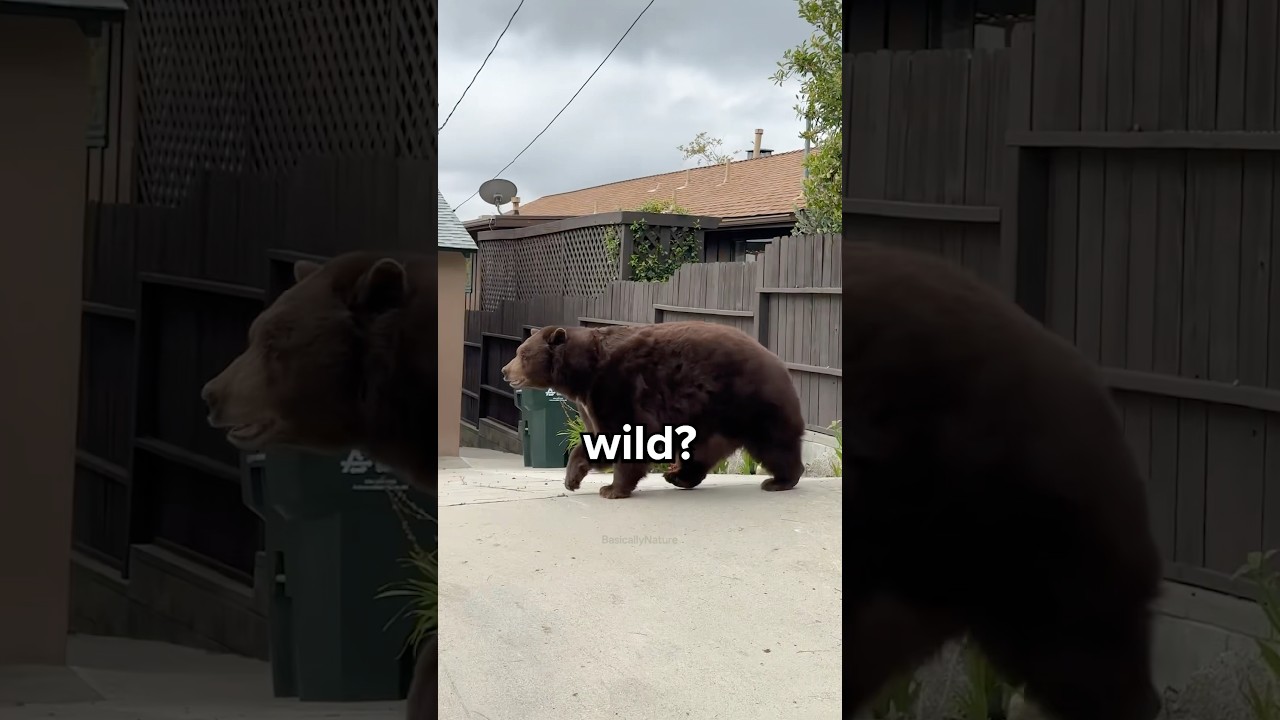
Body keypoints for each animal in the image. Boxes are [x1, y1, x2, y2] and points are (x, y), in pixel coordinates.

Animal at [500, 321, 807, 499]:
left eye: (522, 354)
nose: (504, 371)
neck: (583, 373)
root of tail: (778, 361)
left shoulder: (616, 386)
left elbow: (626, 436)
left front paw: (611, 488)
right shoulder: (589, 401)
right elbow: (598, 438)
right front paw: (573, 478)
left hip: (748, 400)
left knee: (774, 442)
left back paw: (780, 480)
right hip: (708, 417)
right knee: (701, 450)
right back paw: (679, 476)